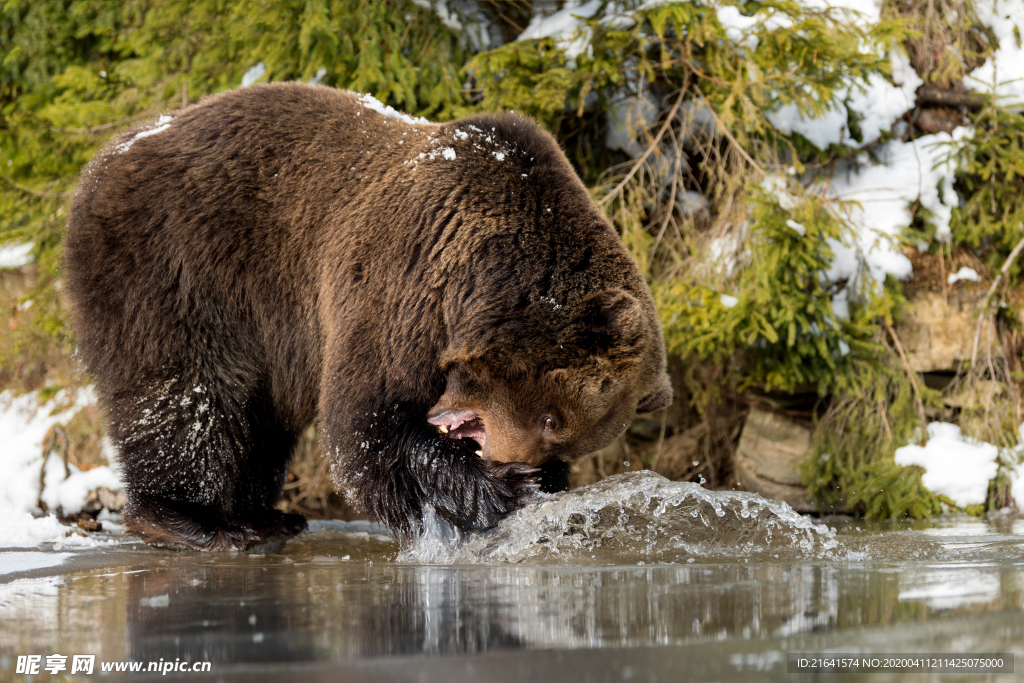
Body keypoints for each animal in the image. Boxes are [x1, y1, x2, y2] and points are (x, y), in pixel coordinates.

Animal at [64, 82, 671, 548]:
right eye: (551, 419)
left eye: (562, 438)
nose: (514, 461)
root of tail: (106, 158)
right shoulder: (399, 285)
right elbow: (366, 421)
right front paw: (498, 490)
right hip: (181, 266)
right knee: (186, 394)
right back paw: (191, 521)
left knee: (260, 415)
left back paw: (265, 515)